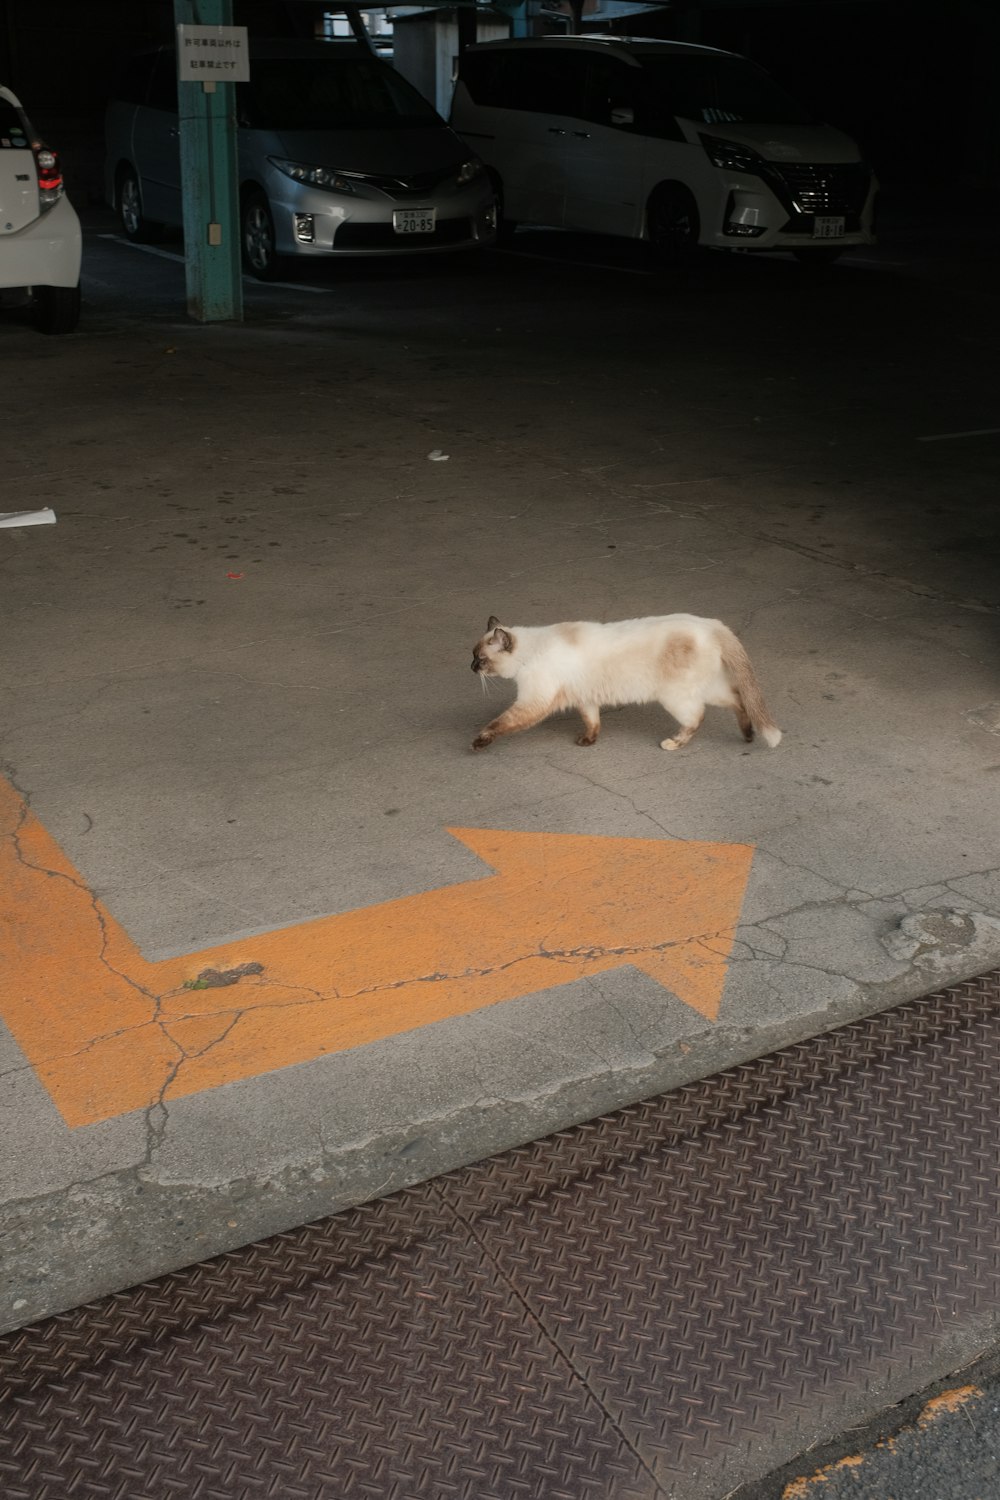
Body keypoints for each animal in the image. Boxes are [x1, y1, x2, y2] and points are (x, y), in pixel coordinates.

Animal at [470, 609, 779, 750]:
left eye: (481, 659)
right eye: (473, 656)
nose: (472, 668)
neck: (531, 651)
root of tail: (711, 624)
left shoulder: (533, 702)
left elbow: (500, 723)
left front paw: (478, 742)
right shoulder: (585, 698)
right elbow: (592, 721)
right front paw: (588, 741)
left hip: (677, 697)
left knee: (697, 717)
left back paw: (673, 743)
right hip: (708, 688)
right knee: (739, 701)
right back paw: (748, 735)